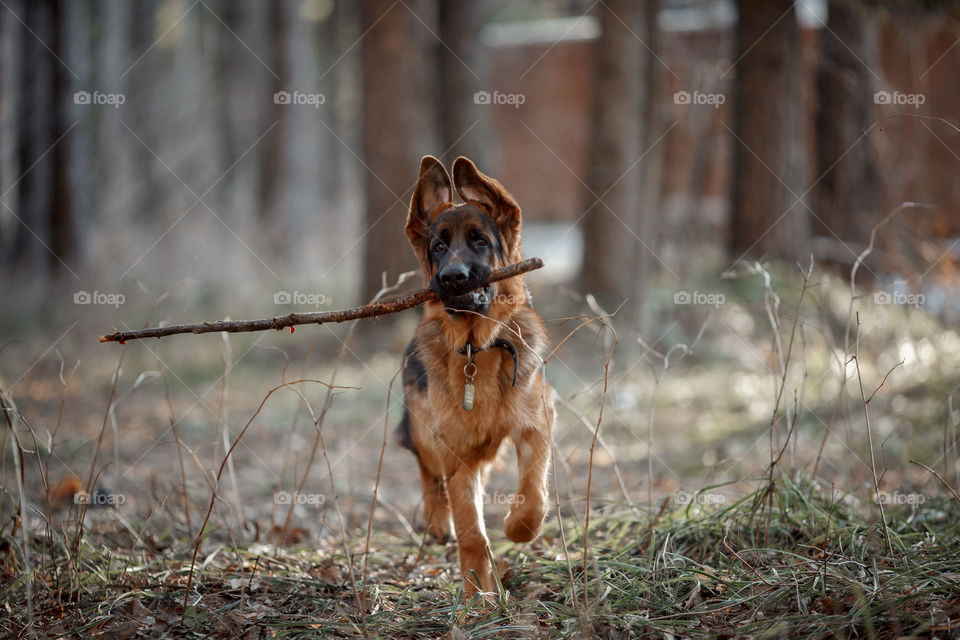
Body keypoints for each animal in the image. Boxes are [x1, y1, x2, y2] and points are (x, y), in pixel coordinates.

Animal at [398, 155, 556, 596]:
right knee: (428, 471)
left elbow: (534, 495)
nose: (452, 277)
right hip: (425, 430)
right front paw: (477, 594)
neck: (476, 348)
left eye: (480, 242)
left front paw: (518, 529)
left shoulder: (536, 425)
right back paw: (438, 523)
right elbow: (470, 530)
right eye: (439, 247)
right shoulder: (454, 450)